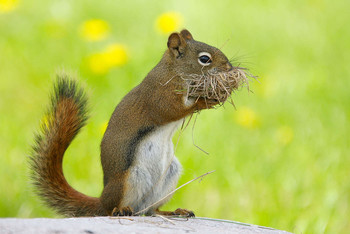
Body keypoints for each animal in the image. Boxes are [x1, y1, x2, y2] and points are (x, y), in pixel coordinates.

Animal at [29, 29, 232, 218]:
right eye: (204, 59)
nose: (229, 67)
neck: (173, 71)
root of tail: (101, 200)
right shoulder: (160, 96)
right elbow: (173, 111)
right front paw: (205, 100)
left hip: (169, 177)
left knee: (152, 210)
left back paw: (175, 211)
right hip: (128, 180)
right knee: (113, 209)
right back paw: (121, 209)